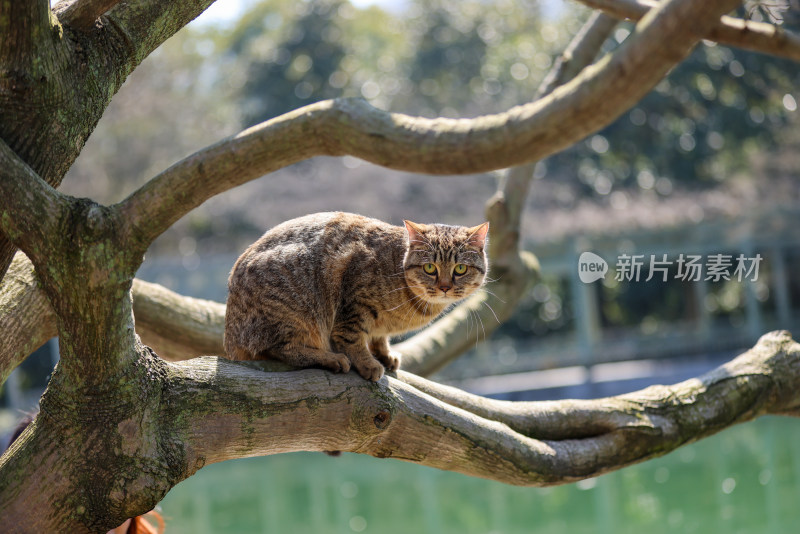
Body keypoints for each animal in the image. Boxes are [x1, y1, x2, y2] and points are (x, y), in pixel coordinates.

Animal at [222, 211, 490, 384]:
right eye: (430, 268)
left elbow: (379, 337)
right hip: (295, 311)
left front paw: (384, 354)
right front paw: (368, 362)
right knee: (280, 348)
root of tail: (229, 339)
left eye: (460, 269)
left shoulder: (377, 325)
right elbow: (352, 337)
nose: (444, 287)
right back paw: (330, 358)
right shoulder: (354, 301)